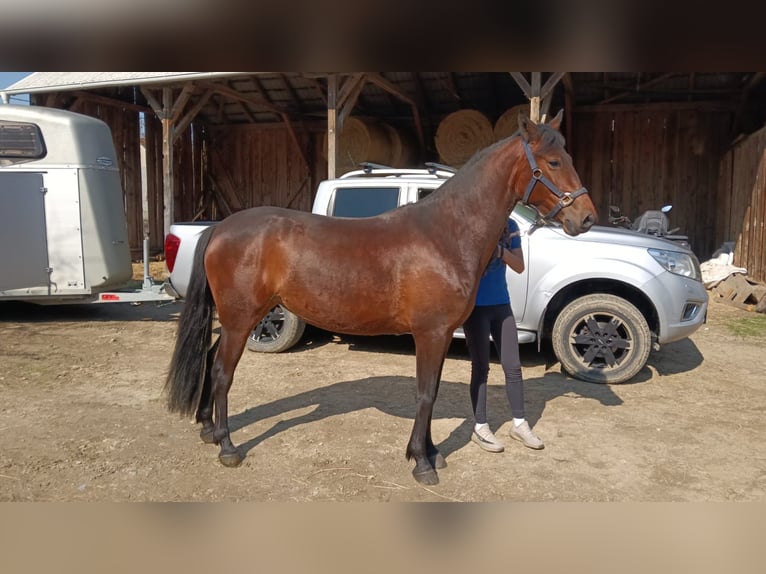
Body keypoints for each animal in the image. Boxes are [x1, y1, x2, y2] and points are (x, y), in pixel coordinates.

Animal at [165, 110, 598, 486]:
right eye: (554, 161)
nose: (586, 218)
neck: (444, 233)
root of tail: (221, 227)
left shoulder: (441, 336)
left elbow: (431, 391)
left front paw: (432, 452)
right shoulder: (430, 333)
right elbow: (425, 393)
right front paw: (421, 462)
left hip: (238, 319)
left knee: (210, 361)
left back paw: (207, 429)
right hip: (242, 319)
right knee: (223, 372)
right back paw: (227, 446)